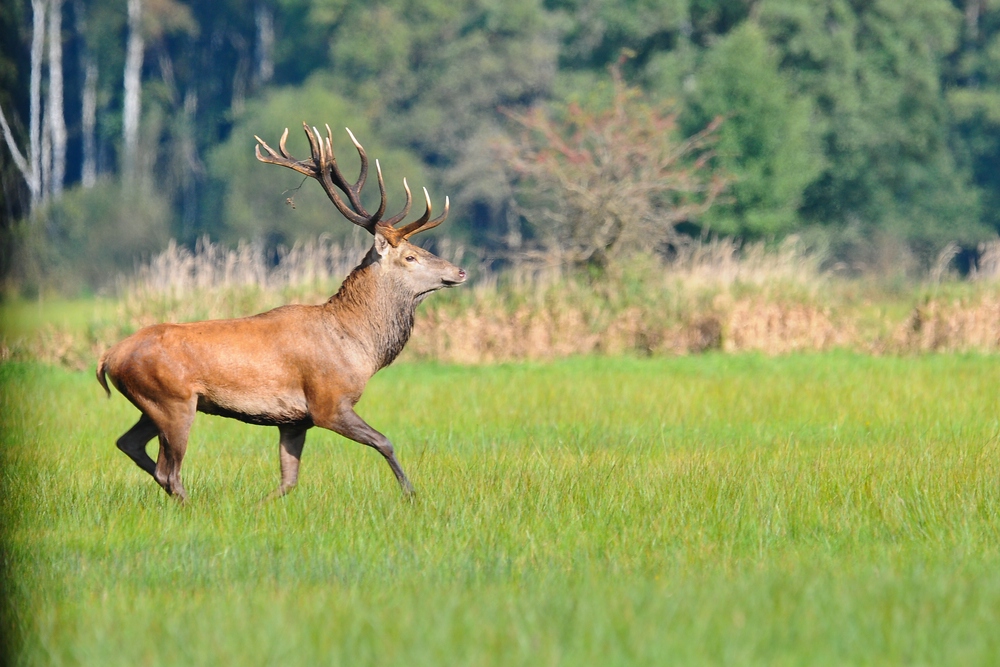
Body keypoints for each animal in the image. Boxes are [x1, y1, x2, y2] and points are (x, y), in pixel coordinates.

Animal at [96, 122, 466, 502]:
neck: (358, 346)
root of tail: (108, 358)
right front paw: (411, 494)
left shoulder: (294, 420)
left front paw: (259, 506)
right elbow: (385, 441)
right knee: (167, 470)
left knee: (129, 444)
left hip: (153, 406)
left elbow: (288, 480)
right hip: (173, 401)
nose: (460, 271)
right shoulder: (327, 403)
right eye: (410, 256)